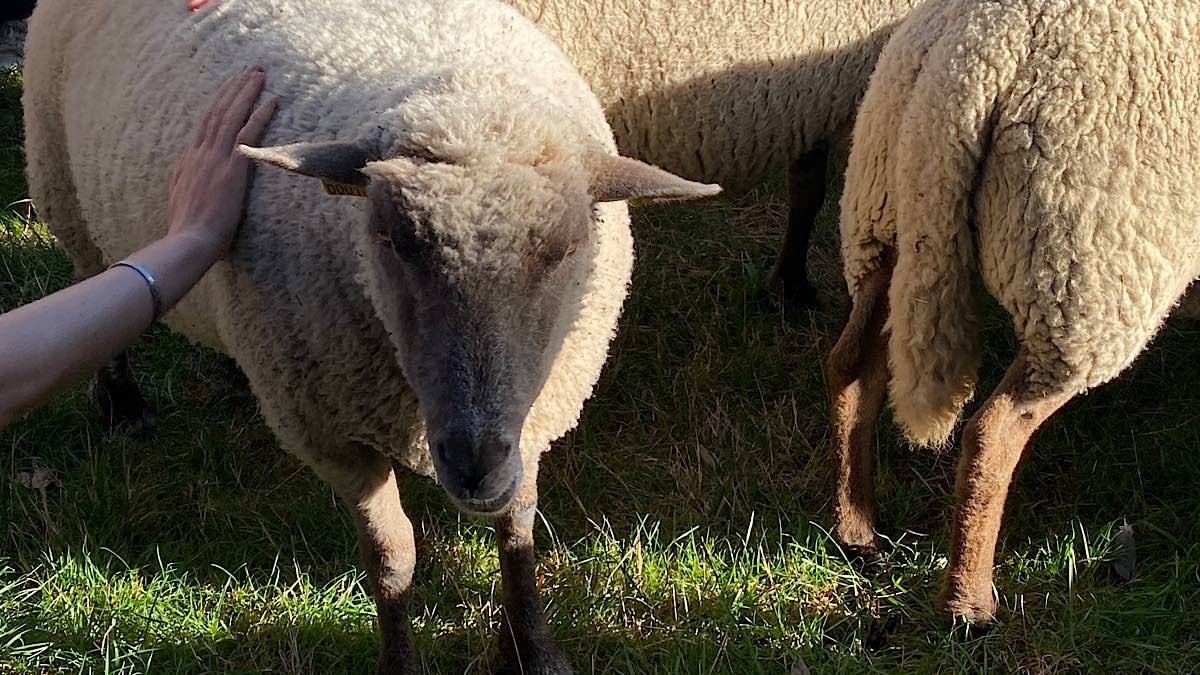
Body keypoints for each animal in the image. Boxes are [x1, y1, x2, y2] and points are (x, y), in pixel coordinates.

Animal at [23, 0, 715, 667]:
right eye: (389, 240)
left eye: (567, 248)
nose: (473, 463)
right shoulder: (333, 437)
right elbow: (392, 562)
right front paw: (401, 659)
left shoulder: (537, 414)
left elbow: (518, 530)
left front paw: (535, 649)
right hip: (63, 189)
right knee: (93, 276)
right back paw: (123, 405)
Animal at [830, 0, 1200, 624]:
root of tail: (969, 61)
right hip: (1082, 281)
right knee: (992, 432)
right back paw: (967, 604)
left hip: (885, 219)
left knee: (851, 370)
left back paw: (856, 533)